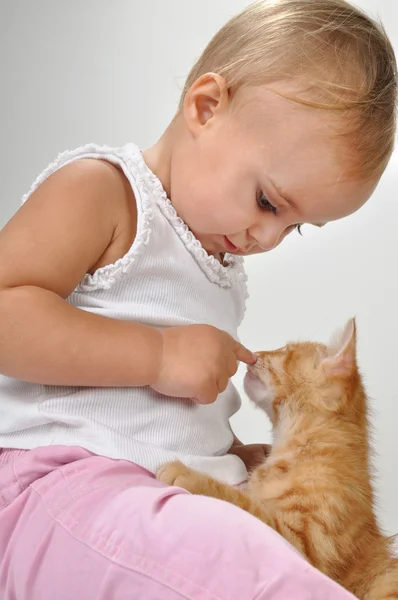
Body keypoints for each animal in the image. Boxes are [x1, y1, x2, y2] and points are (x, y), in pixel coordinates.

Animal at [159, 322, 398, 596]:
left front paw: (190, 475)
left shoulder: (301, 546)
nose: (255, 353)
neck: (301, 449)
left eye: (285, 351)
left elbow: (244, 504)